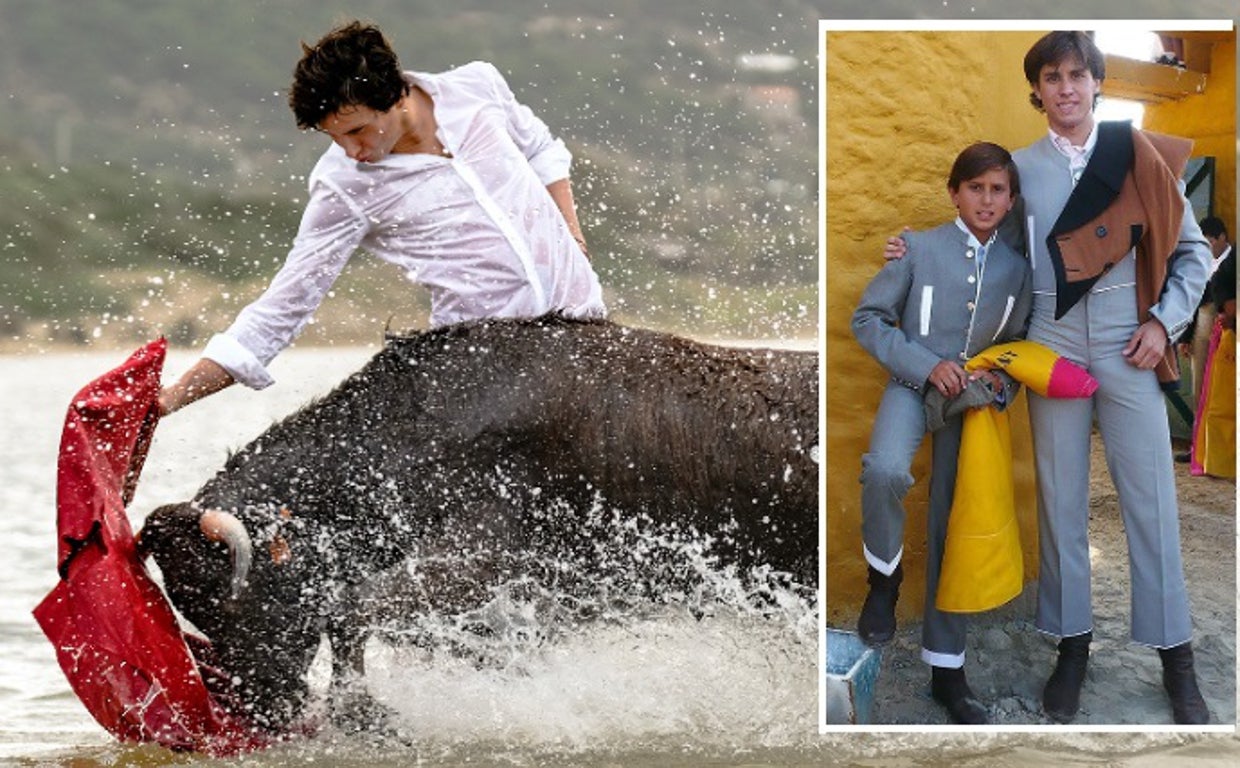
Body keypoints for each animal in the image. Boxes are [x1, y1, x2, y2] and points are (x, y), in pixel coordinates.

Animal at [135, 315, 818, 729]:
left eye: (225, 597)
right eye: (185, 602)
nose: (262, 708)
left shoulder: (486, 566)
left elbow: (352, 609)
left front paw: (363, 713)